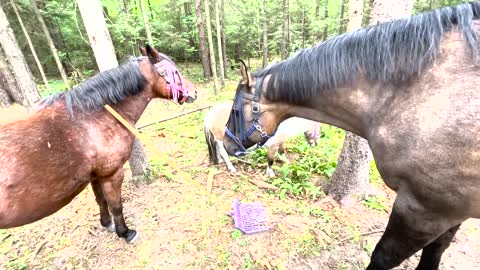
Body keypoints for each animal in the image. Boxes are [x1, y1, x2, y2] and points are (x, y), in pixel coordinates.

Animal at [0, 45, 197, 244]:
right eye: (175, 72)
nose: (194, 92)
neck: (94, 116)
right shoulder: (112, 174)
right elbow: (116, 205)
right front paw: (125, 232)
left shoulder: (95, 175)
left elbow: (101, 200)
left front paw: (107, 223)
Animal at [223, 2, 480, 270]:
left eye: (236, 111)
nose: (227, 143)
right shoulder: (453, 212)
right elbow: (437, 248)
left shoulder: (423, 210)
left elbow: (385, 256)